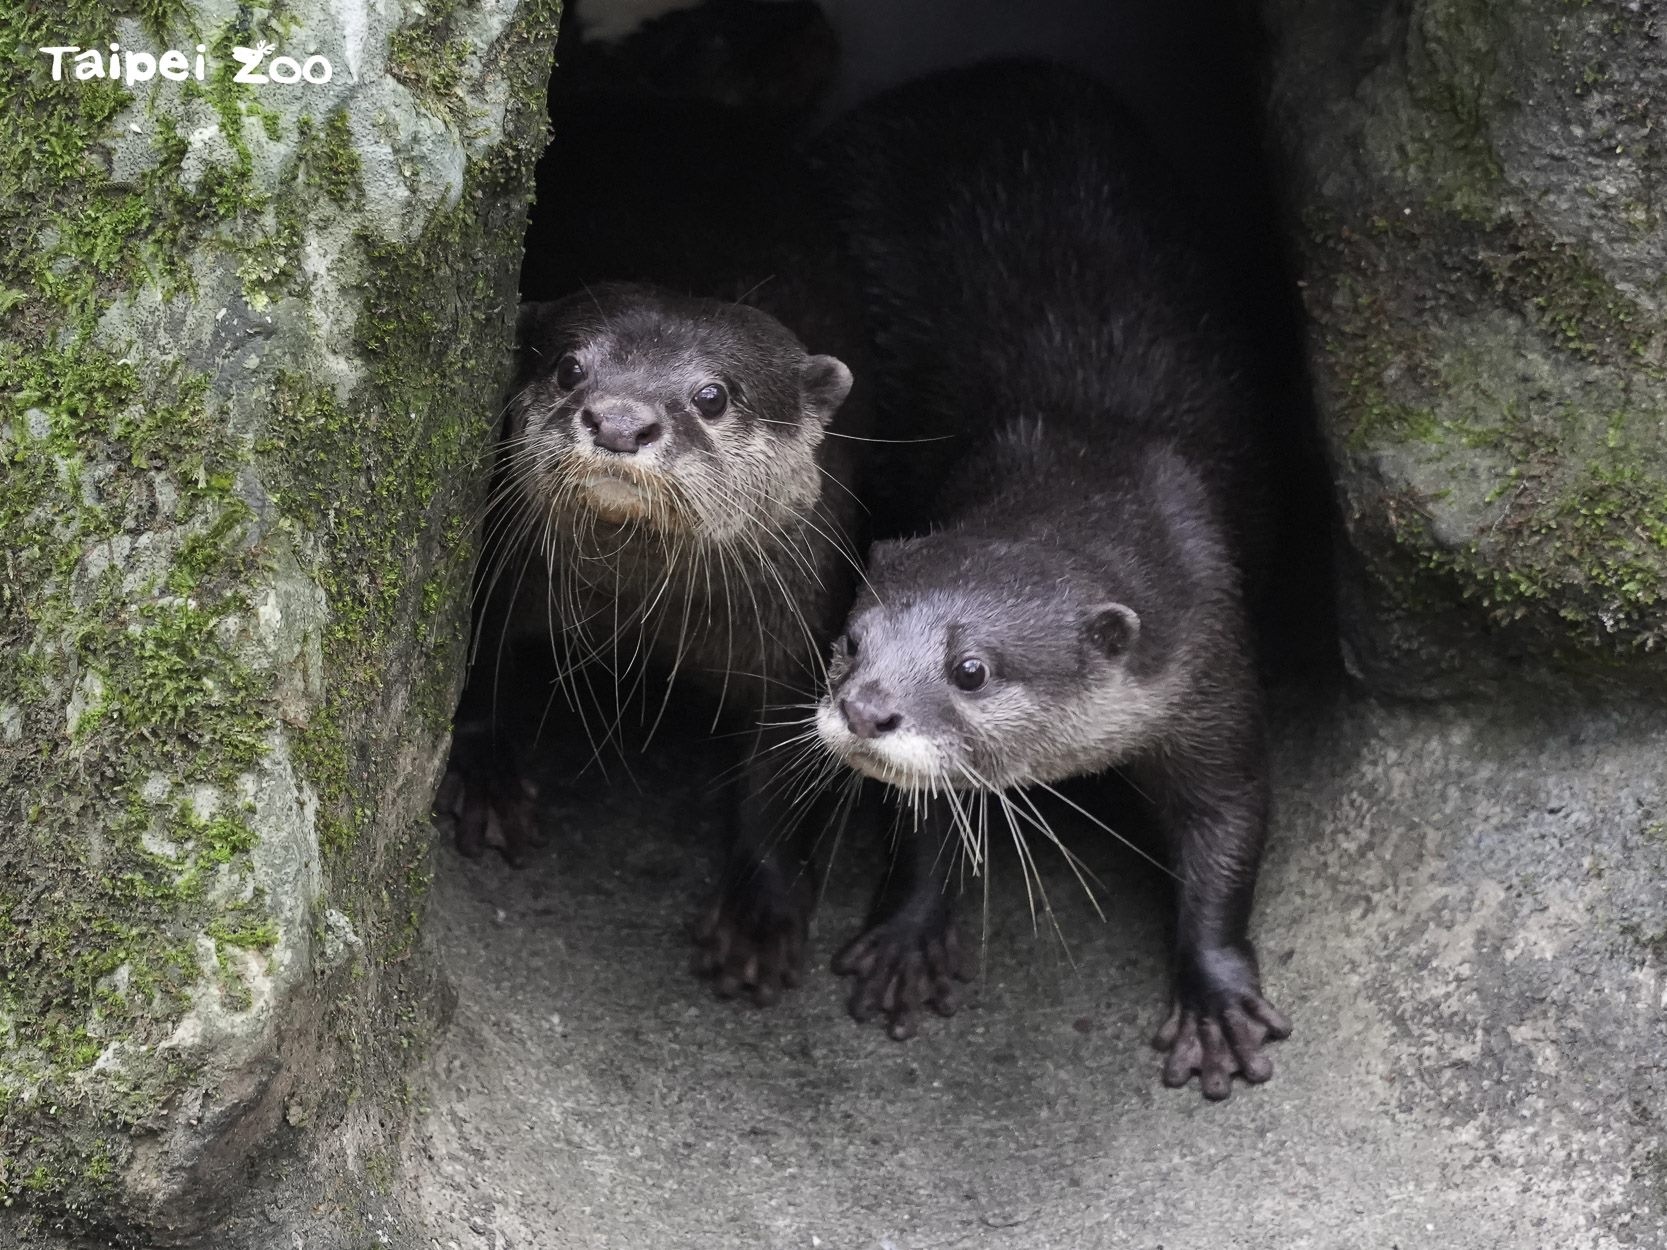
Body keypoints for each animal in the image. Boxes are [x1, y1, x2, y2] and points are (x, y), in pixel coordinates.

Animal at [806, 63, 1286, 1106]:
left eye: (972, 669)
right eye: (849, 643)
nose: (864, 709)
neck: (1090, 456)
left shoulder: (1211, 659)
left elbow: (1230, 822)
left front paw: (1217, 1001)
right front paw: (906, 935)